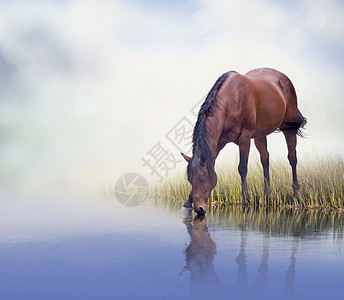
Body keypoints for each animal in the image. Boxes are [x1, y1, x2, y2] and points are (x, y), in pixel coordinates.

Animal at [180, 68, 306, 213]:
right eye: (190, 179)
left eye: (202, 179)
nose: (199, 209)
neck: (231, 100)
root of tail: (284, 78)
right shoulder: (219, 142)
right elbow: (211, 163)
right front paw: (187, 203)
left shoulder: (244, 138)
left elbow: (242, 168)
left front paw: (245, 199)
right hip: (260, 135)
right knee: (265, 159)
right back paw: (267, 194)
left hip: (288, 128)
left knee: (292, 158)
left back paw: (296, 192)